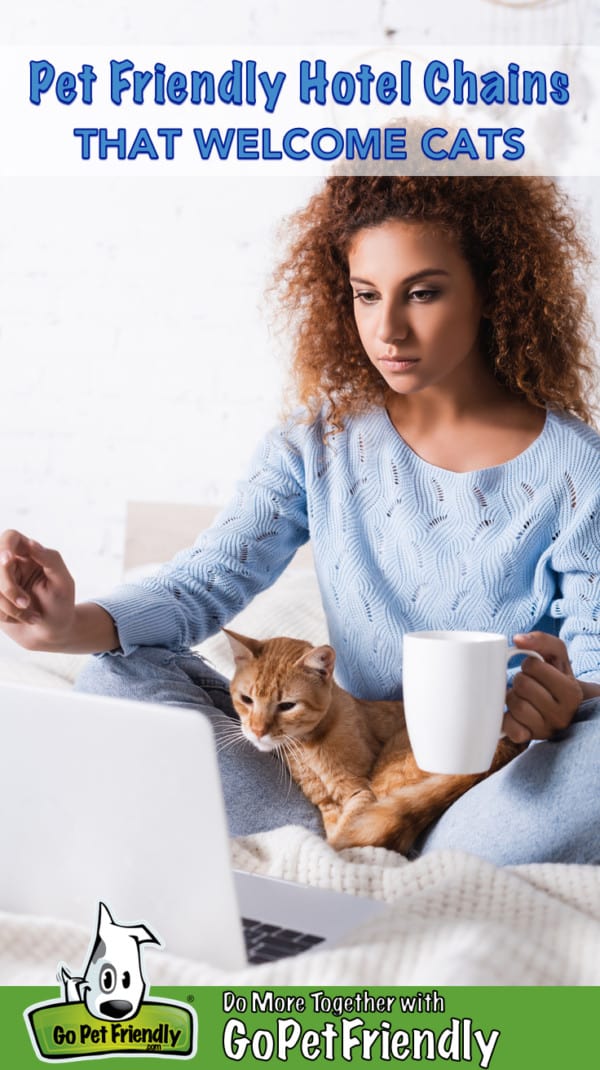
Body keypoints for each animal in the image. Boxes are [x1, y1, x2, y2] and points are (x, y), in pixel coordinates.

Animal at [222, 629, 521, 856]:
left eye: (287, 706)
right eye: (246, 700)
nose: (257, 730)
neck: (307, 748)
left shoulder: (360, 793)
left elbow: (343, 835)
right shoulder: (326, 805)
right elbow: (336, 828)